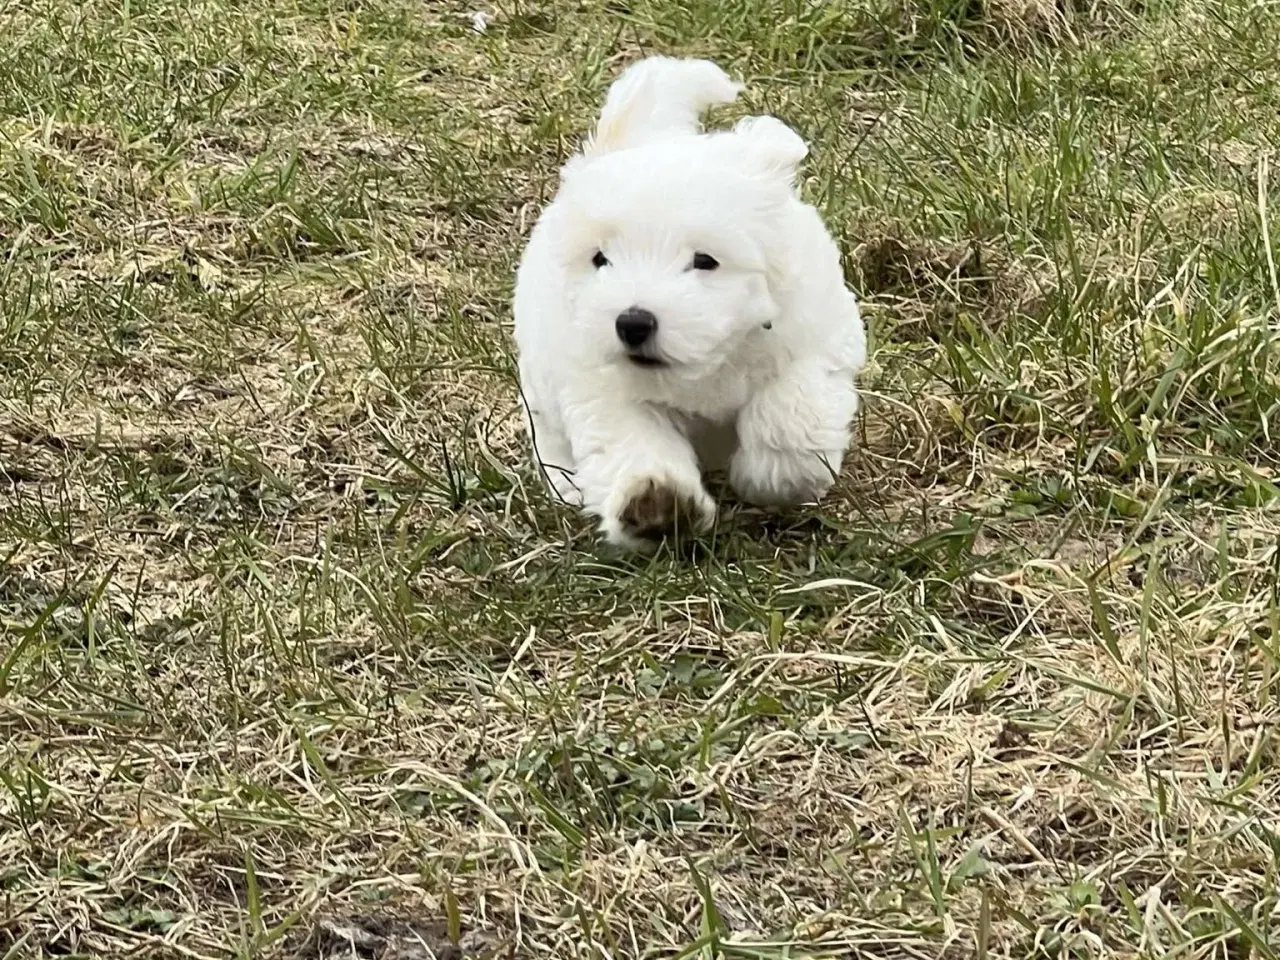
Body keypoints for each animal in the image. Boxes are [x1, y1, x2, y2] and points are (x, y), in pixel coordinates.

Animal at [514, 60, 865, 552]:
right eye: (601, 259)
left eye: (705, 260)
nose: (632, 323)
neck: (707, 362)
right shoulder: (600, 385)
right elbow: (634, 443)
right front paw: (656, 506)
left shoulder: (815, 337)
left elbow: (789, 410)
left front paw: (776, 477)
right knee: (550, 435)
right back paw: (566, 483)